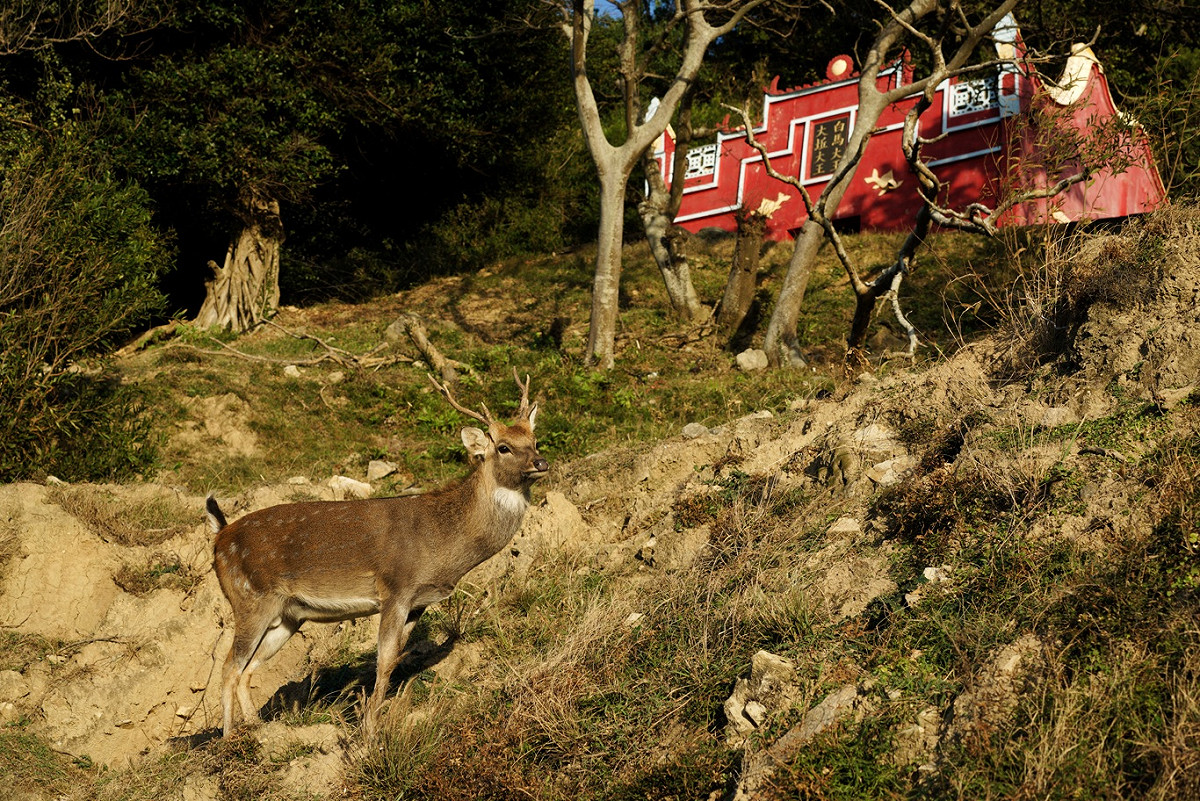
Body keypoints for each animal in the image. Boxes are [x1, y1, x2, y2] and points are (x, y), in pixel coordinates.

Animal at [208, 371, 548, 737]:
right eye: (503, 447)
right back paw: (229, 738)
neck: (443, 544)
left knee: (248, 669)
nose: (541, 463)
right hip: (249, 598)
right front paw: (368, 730)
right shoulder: (396, 588)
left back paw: (257, 728)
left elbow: (395, 658)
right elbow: (383, 661)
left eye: (534, 440)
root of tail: (220, 538)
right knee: (229, 667)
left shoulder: (418, 603)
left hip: (288, 615)